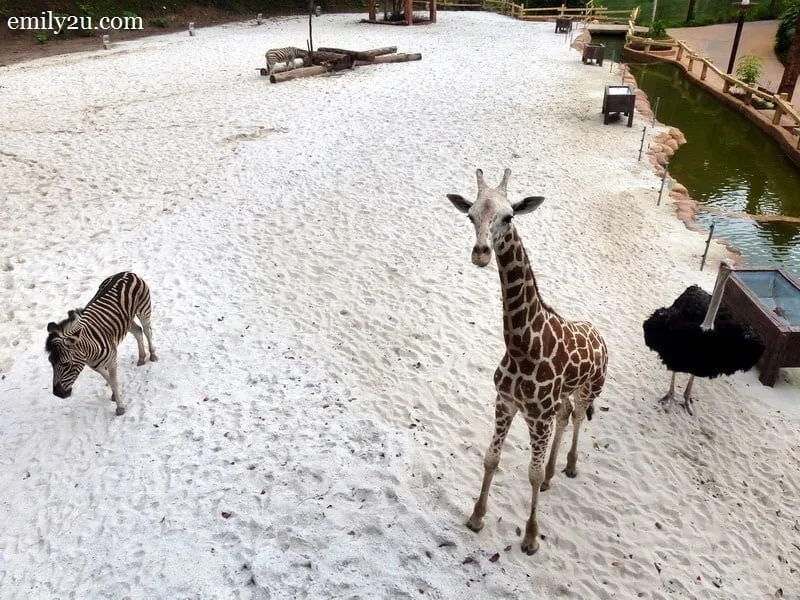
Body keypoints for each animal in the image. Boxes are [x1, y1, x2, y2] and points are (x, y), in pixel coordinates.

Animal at [447, 168, 608, 555]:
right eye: (470, 215)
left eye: (510, 216)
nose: (481, 253)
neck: (522, 347)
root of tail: (600, 335)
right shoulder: (505, 403)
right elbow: (491, 458)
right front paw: (477, 517)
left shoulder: (537, 415)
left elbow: (529, 474)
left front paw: (532, 538)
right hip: (559, 402)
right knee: (566, 415)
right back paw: (552, 475)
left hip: (588, 390)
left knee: (577, 417)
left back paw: (569, 467)